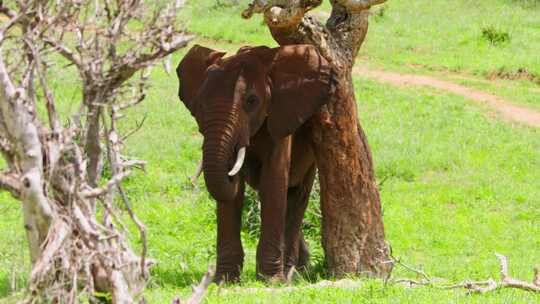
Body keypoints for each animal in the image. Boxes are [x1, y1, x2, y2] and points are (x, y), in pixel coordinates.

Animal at [176, 43, 334, 282]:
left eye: (252, 101)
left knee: (297, 196)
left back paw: (291, 275)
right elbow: (232, 196)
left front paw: (271, 281)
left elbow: (273, 183)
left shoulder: (281, 118)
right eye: (199, 103)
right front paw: (224, 280)